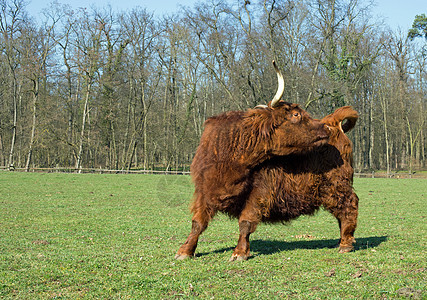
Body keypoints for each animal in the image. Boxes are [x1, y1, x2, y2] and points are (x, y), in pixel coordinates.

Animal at [176, 61, 332, 260]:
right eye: (296, 115)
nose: (326, 127)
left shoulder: (259, 190)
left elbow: (246, 222)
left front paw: (240, 252)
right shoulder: (204, 190)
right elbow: (198, 222)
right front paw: (185, 250)